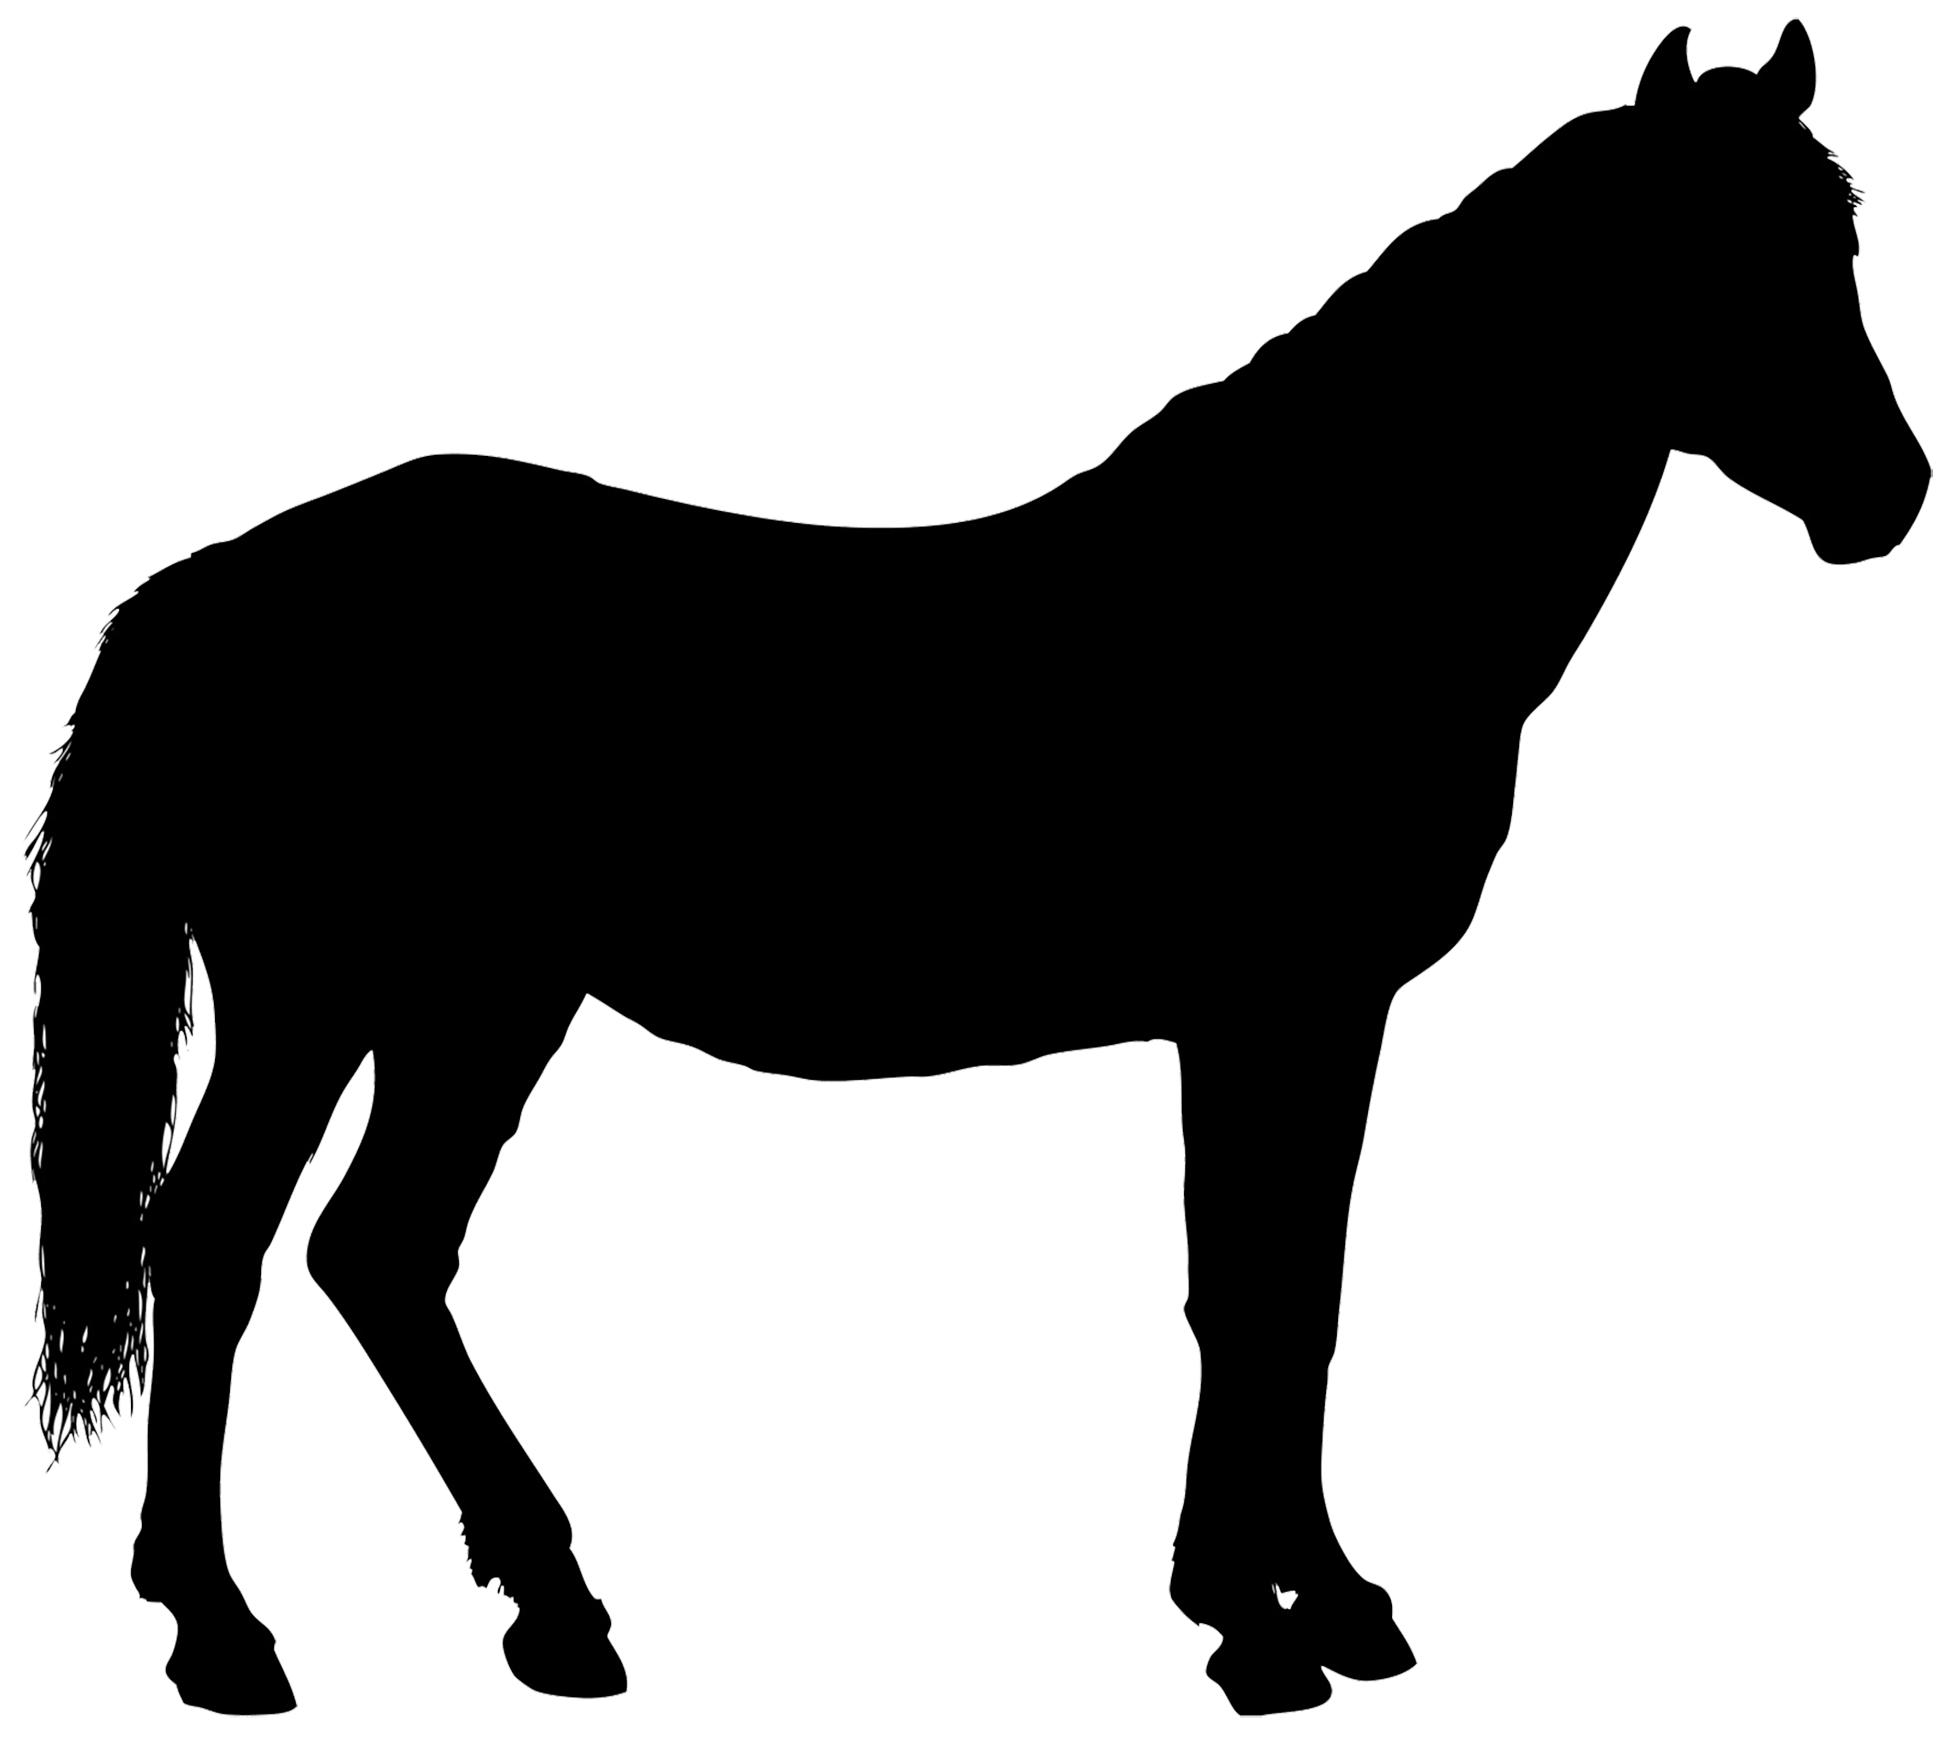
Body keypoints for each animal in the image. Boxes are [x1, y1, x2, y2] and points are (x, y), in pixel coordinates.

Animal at [23, 19, 1928, 1718]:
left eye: (1833, 241)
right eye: (1709, 254)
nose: (1886, 493)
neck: (1320, 584)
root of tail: (201, 596)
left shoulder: (1316, 1016)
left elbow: (1296, 1297)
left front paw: (1318, 1604)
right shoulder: (1270, 1008)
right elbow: (1251, 1295)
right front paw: (1253, 1628)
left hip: (474, 999)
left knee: (372, 1251)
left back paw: (552, 1614)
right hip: (329, 994)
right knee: (219, 1244)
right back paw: (228, 1636)